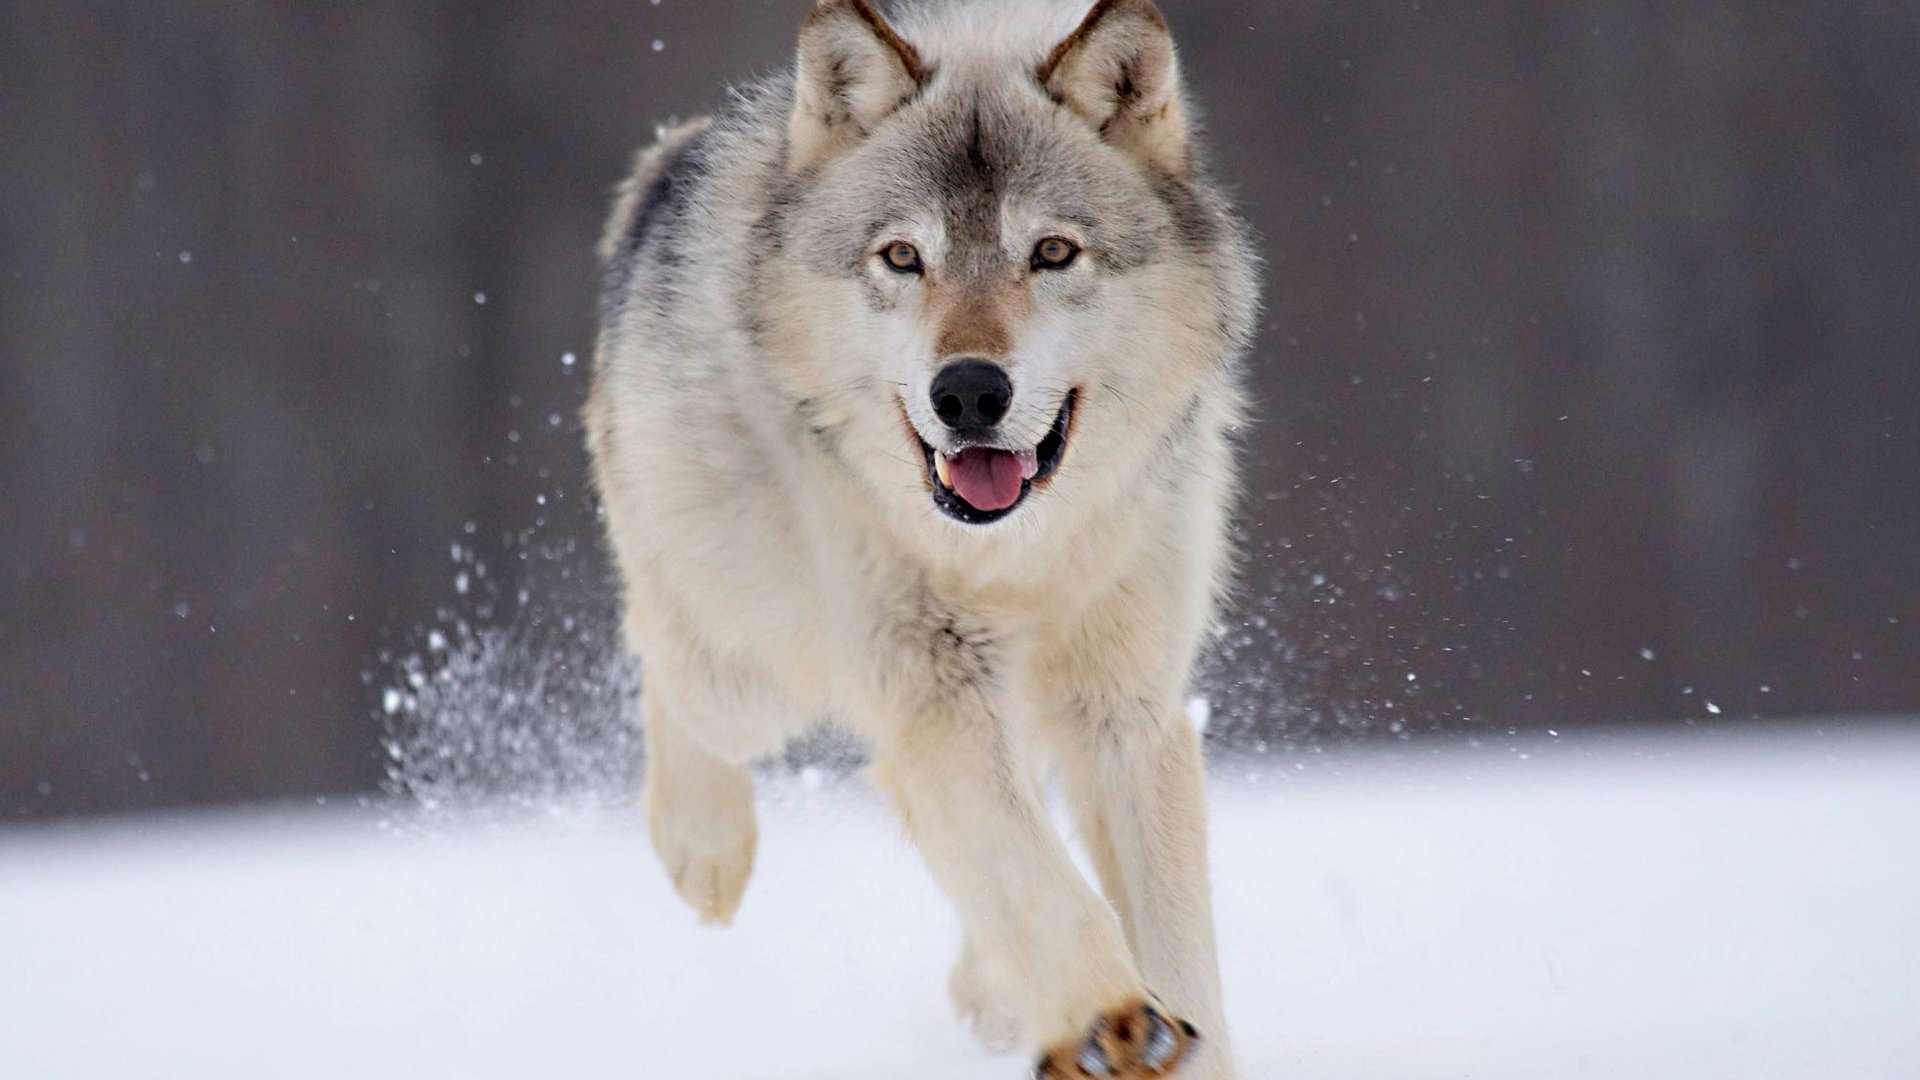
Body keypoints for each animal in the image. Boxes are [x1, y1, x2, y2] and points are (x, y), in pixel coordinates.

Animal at [583, 0, 1259, 1068]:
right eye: (903, 256)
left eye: (1052, 253)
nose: (969, 392)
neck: (1017, 556)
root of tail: (669, 162)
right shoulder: (932, 685)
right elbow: (1040, 881)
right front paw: (1109, 1018)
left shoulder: (1126, 708)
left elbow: (1175, 941)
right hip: (751, 670)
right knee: (665, 657)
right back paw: (705, 852)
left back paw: (994, 993)